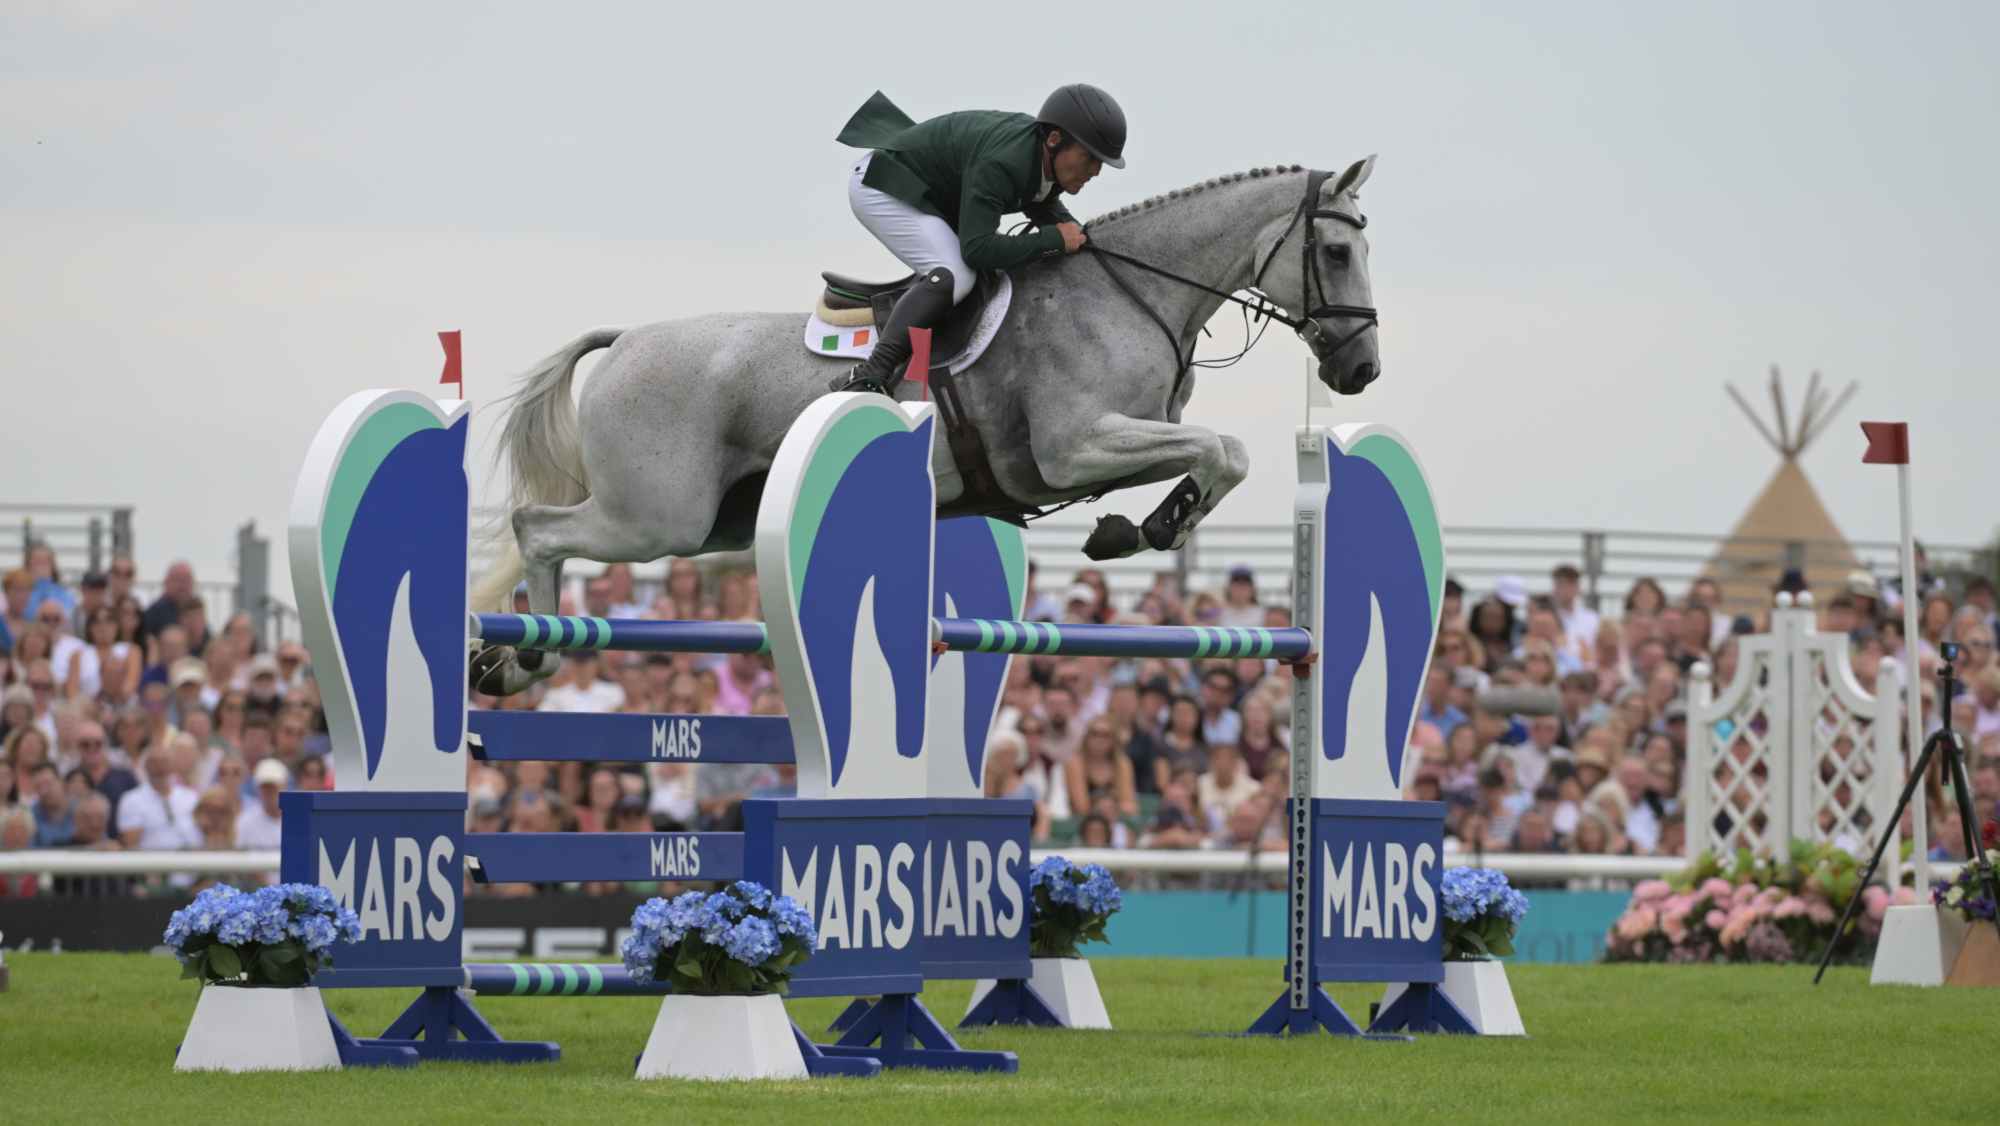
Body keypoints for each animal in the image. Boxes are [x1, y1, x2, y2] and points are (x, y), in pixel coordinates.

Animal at [470, 157, 1382, 693]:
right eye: (1337, 254)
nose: (1360, 372)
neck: (1132, 292)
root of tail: (626, 338)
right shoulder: (1073, 447)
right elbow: (1220, 449)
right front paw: (1149, 528)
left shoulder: (1103, 448)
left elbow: (1222, 453)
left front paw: (1136, 527)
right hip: (658, 517)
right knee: (538, 527)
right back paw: (525, 654)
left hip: (712, 522)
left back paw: (514, 660)